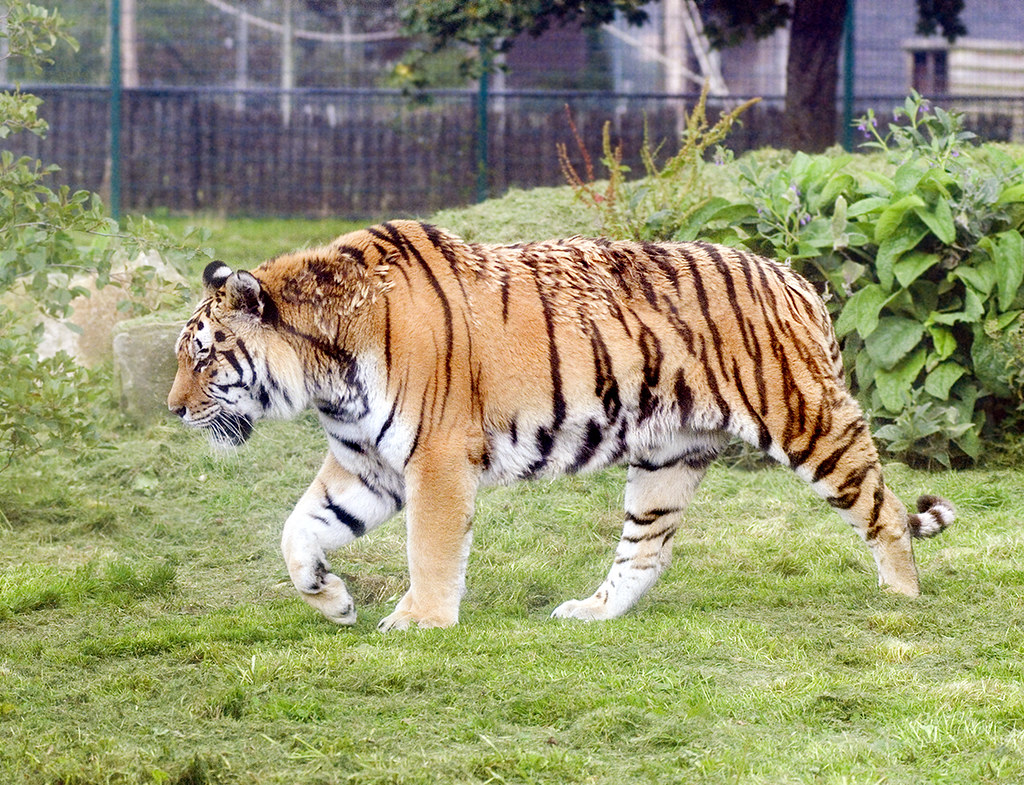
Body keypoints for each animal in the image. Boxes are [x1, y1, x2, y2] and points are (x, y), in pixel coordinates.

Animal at [168, 219, 954, 631]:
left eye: (204, 355)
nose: (173, 408)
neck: (326, 375)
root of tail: (797, 281)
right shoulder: (366, 464)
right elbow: (298, 530)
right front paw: (331, 601)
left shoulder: (435, 459)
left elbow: (430, 548)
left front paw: (420, 620)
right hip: (667, 457)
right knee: (645, 553)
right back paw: (590, 611)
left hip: (808, 420)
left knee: (883, 509)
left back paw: (900, 601)